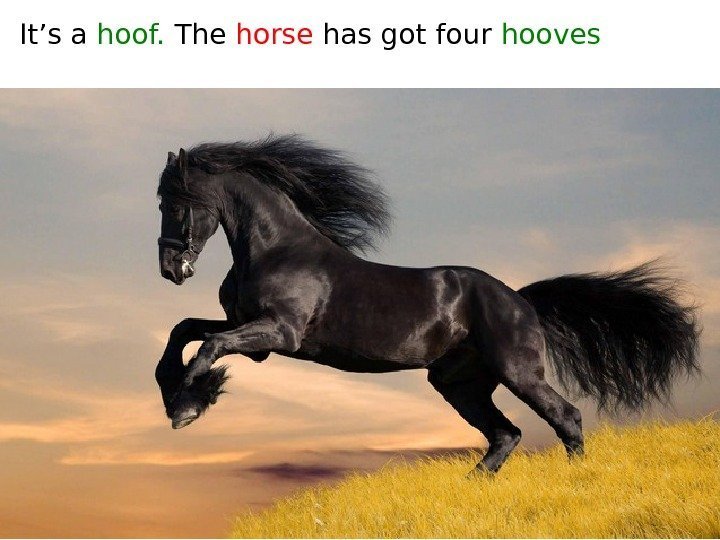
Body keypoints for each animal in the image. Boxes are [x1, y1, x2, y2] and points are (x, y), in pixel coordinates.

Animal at [155, 135, 700, 474]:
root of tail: (520, 300)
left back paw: (574, 480)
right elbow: (185, 331)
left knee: (565, 417)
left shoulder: (279, 334)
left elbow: (208, 347)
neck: (276, 248)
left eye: (177, 201)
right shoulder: (252, 333)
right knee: (506, 434)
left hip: (517, 372)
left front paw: (188, 405)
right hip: (459, 383)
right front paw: (180, 394)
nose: (170, 268)